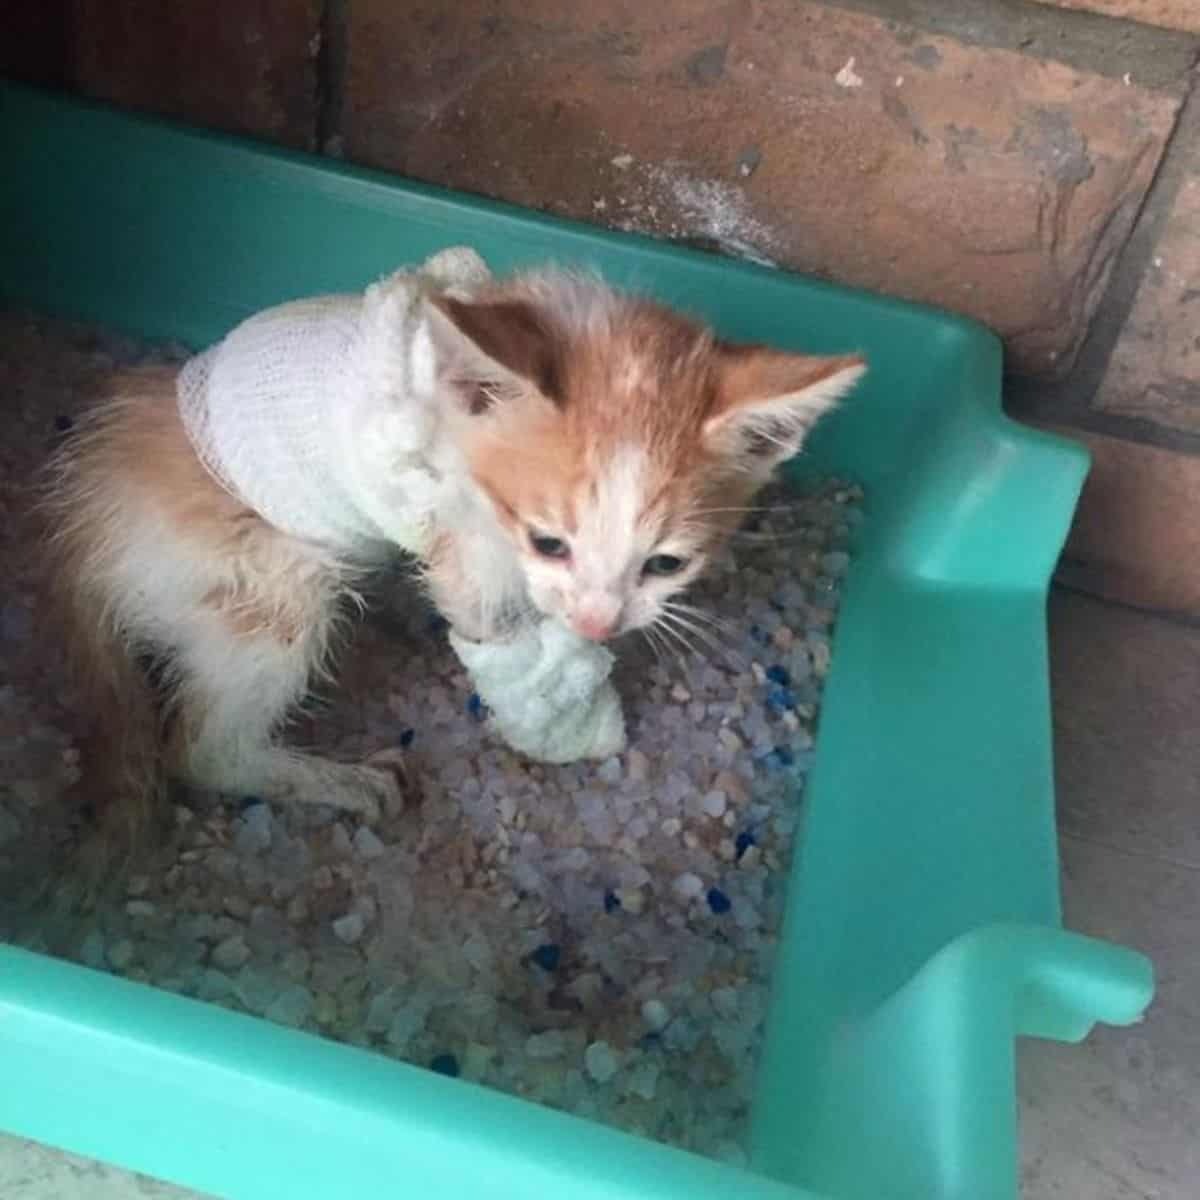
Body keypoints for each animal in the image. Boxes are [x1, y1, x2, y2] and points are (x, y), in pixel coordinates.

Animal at [39, 266, 864, 859]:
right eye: (548, 543)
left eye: (665, 563)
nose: (599, 624)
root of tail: (83, 526)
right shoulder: (462, 541)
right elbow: (497, 631)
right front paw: (559, 706)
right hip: (270, 581)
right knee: (204, 745)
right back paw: (337, 780)